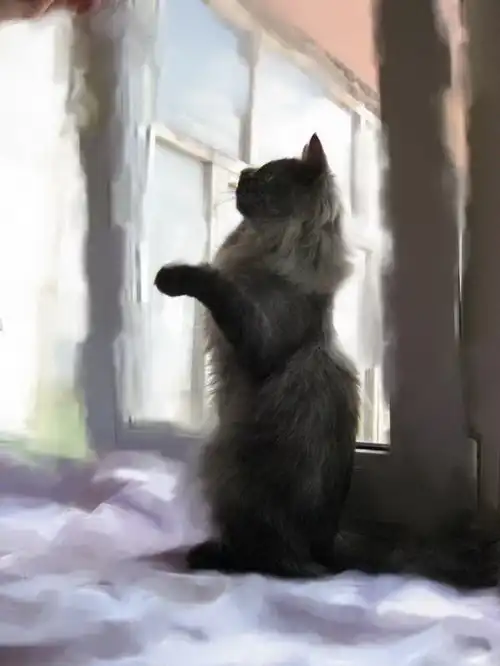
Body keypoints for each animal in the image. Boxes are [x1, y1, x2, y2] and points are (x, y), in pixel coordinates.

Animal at [154, 134, 360, 578]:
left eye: (267, 177)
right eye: (256, 172)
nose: (246, 172)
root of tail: (325, 550)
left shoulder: (258, 339)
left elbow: (219, 286)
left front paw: (172, 276)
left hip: (225, 466)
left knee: (262, 558)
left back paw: (209, 556)